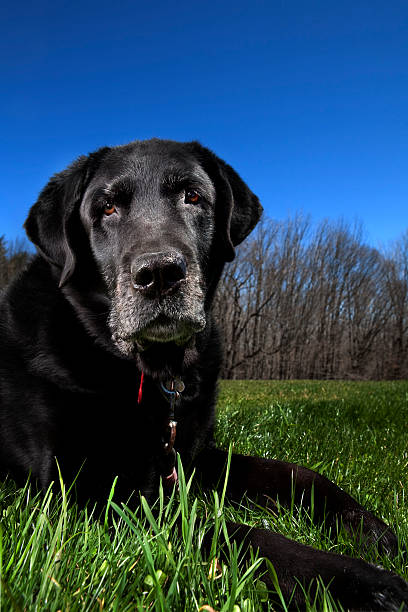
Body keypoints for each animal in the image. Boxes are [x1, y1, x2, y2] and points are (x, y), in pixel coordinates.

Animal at [0, 140, 406, 612]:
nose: (159, 274)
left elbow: (295, 472)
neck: (160, 372)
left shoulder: (194, 459)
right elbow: (237, 535)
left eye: (193, 197)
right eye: (106, 208)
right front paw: (356, 580)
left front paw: (362, 525)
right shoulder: (94, 495)